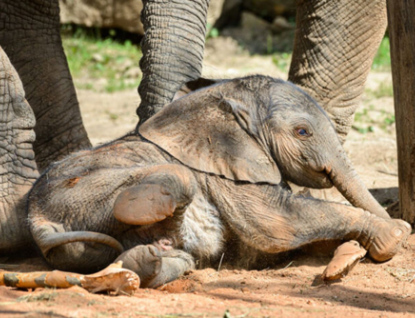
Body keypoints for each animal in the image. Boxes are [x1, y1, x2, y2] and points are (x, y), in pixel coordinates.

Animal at [26, 75, 412, 288]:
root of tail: (36, 221)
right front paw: (392, 235)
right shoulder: (226, 167)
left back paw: (149, 259)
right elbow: (274, 224)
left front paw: (349, 257)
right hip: (79, 191)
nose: (405, 225)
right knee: (179, 180)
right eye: (302, 132)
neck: (223, 96)